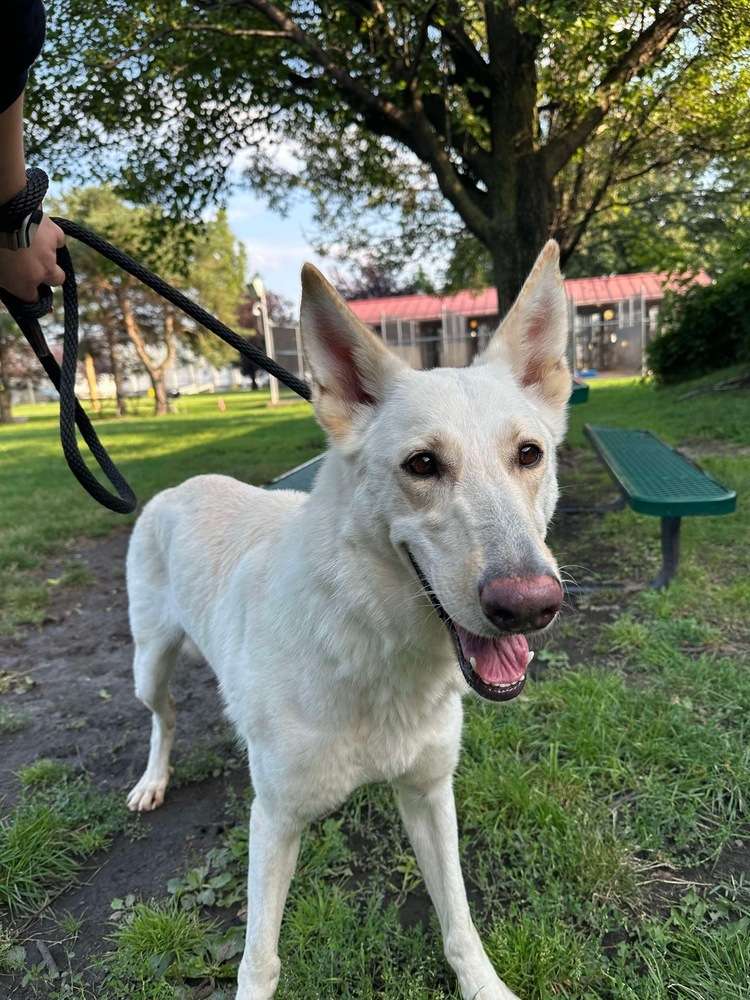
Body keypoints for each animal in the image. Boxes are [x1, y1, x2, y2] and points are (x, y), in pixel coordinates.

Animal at [126, 240, 572, 1000]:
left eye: (529, 455)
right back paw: (154, 780)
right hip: (148, 665)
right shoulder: (273, 821)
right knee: (166, 717)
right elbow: (260, 959)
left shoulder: (429, 795)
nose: (529, 606)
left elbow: (460, 924)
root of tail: (180, 484)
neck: (376, 650)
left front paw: (484, 985)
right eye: (422, 464)